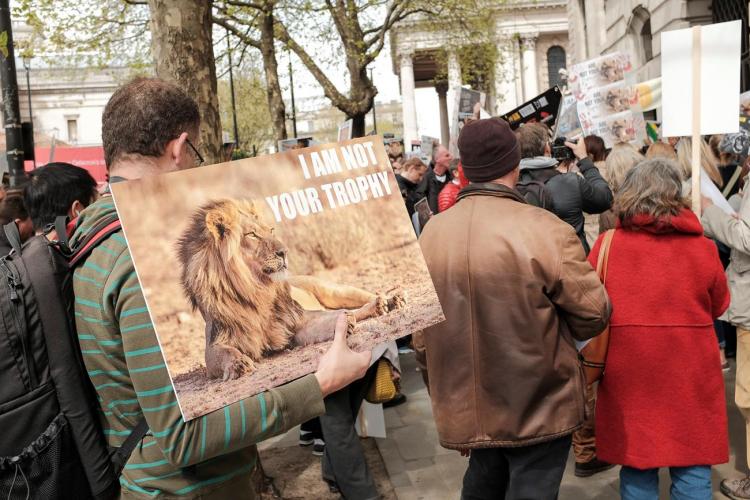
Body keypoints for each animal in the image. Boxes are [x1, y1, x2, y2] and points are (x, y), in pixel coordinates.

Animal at [176, 198, 408, 378]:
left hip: (333, 290)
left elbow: (325, 318)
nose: (284, 252)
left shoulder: (295, 319)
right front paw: (238, 364)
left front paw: (344, 321)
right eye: (252, 235)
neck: (255, 288)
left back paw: (389, 301)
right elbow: (224, 353)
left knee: (363, 298)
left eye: (270, 230)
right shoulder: (216, 342)